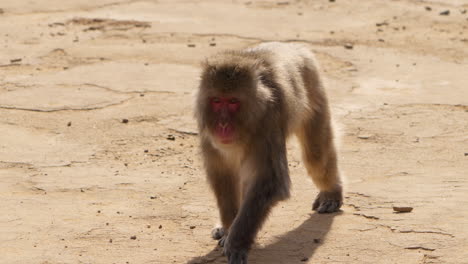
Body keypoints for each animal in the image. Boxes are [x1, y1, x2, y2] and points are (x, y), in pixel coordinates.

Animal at [195, 42, 344, 262]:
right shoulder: (208, 134)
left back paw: (331, 193)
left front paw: (236, 242)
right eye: (216, 101)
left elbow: (269, 181)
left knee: (316, 157)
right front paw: (229, 229)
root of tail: (293, 47)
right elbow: (223, 175)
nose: (222, 125)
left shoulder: (267, 125)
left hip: (314, 88)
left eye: (233, 102)